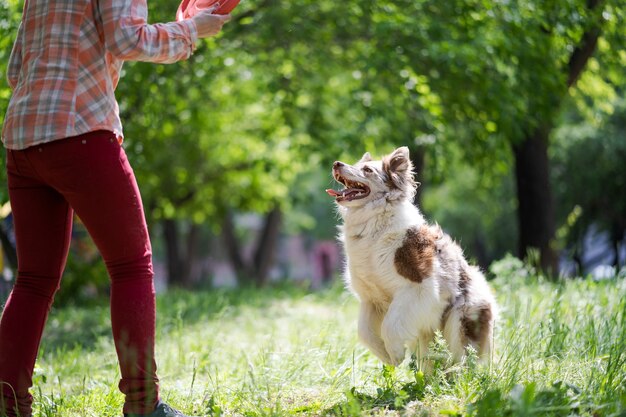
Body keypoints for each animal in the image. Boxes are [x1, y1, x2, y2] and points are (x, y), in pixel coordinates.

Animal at [326, 146, 498, 368]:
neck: (374, 226)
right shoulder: (371, 299)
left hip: (461, 321)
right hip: (429, 338)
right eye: (356, 164)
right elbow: (364, 332)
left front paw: (396, 353)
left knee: (465, 360)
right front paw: (384, 354)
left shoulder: (418, 287)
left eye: (367, 170)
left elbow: (390, 325)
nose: (336, 163)